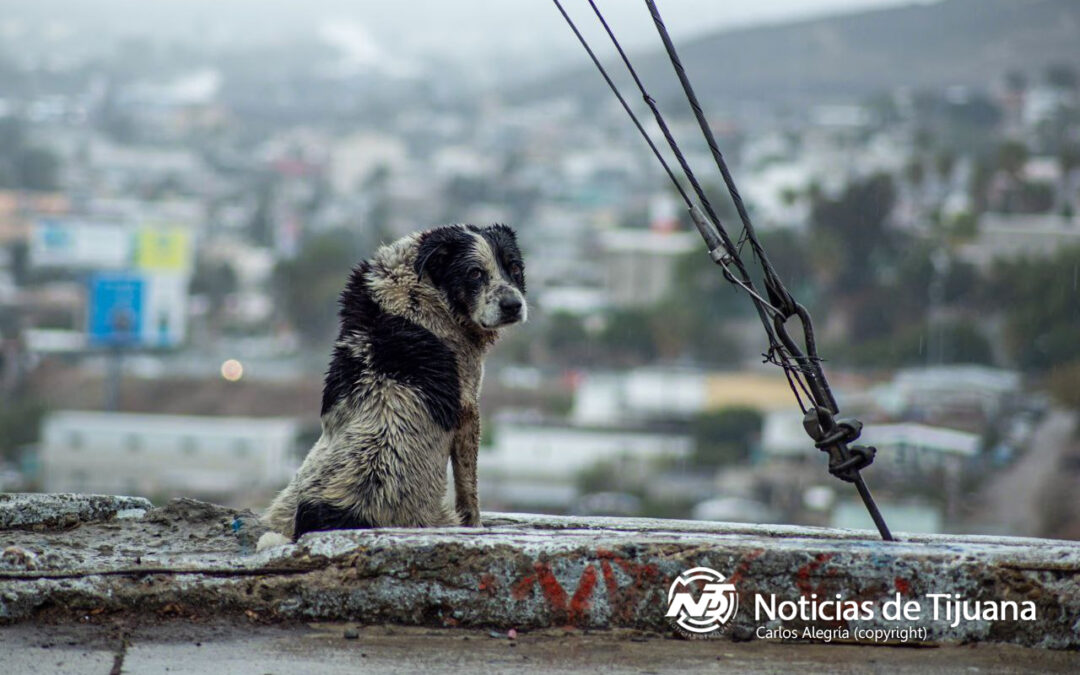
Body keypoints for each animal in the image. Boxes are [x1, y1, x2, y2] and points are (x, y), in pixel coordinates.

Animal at [262, 223, 531, 544]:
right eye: (474, 273)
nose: (513, 305)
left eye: (514, 267)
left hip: (286, 502)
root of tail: (321, 517)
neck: (420, 287)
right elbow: (469, 487)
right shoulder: (468, 407)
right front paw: (476, 525)